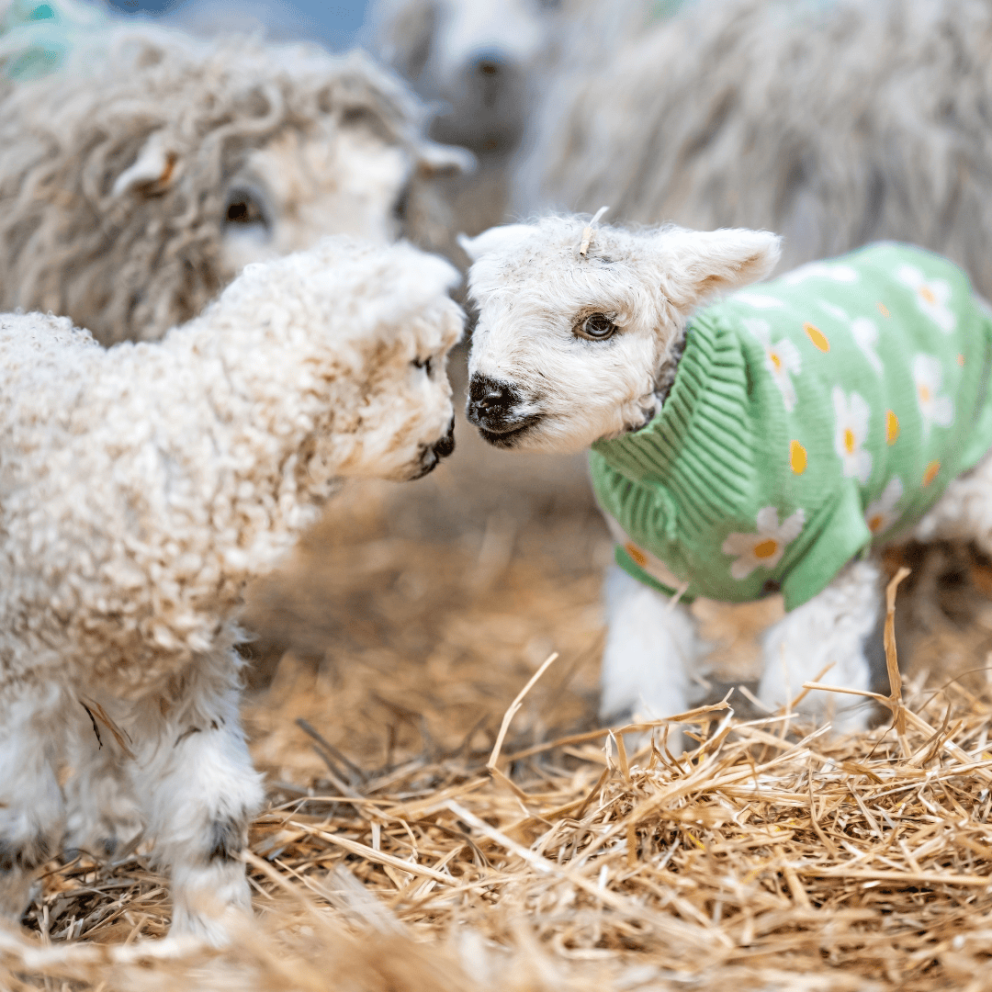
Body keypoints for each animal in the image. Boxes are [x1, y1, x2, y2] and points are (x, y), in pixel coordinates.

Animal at [0, 237, 464, 942]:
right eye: (420, 362)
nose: (450, 438)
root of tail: (24, 318)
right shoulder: (22, 666)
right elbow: (18, 824)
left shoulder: (187, 665)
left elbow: (211, 803)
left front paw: (217, 933)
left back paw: (109, 827)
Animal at [460, 214, 992, 734]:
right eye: (485, 312)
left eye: (598, 324)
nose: (489, 396)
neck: (672, 462)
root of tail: (927, 260)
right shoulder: (649, 569)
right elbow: (646, 667)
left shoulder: (828, 547)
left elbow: (810, 680)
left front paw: (808, 743)